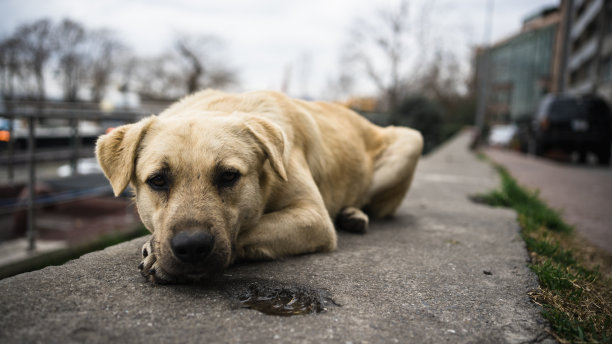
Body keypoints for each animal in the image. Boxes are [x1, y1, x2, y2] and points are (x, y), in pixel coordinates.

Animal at [95, 90, 424, 284]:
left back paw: (354, 214)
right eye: (158, 180)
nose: (191, 247)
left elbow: (253, 229)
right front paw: (152, 245)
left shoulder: (313, 217)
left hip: (411, 141)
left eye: (228, 176)